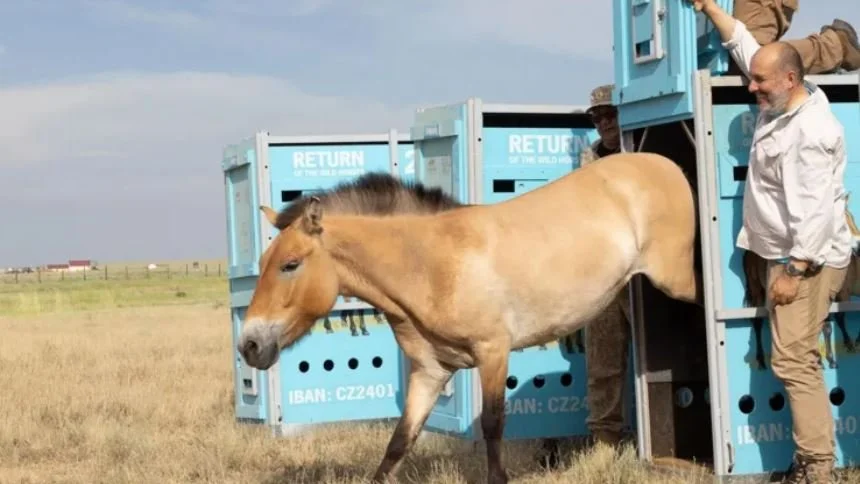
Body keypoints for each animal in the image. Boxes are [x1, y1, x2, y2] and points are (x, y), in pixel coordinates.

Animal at [237, 151, 702, 484]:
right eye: (263, 262)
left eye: (291, 265)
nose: (250, 345)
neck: (431, 264)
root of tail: (666, 165)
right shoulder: (430, 372)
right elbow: (398, 443)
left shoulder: (493, 352)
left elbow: (493, 427)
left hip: (679, 281)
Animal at [742, 195, 860, 371]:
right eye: (843, 223)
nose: (859, 246)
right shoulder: (841, 294)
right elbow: (830, 323)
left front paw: (827, 359)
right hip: (756, 290)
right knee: (757, 322)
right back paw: (762, 360)